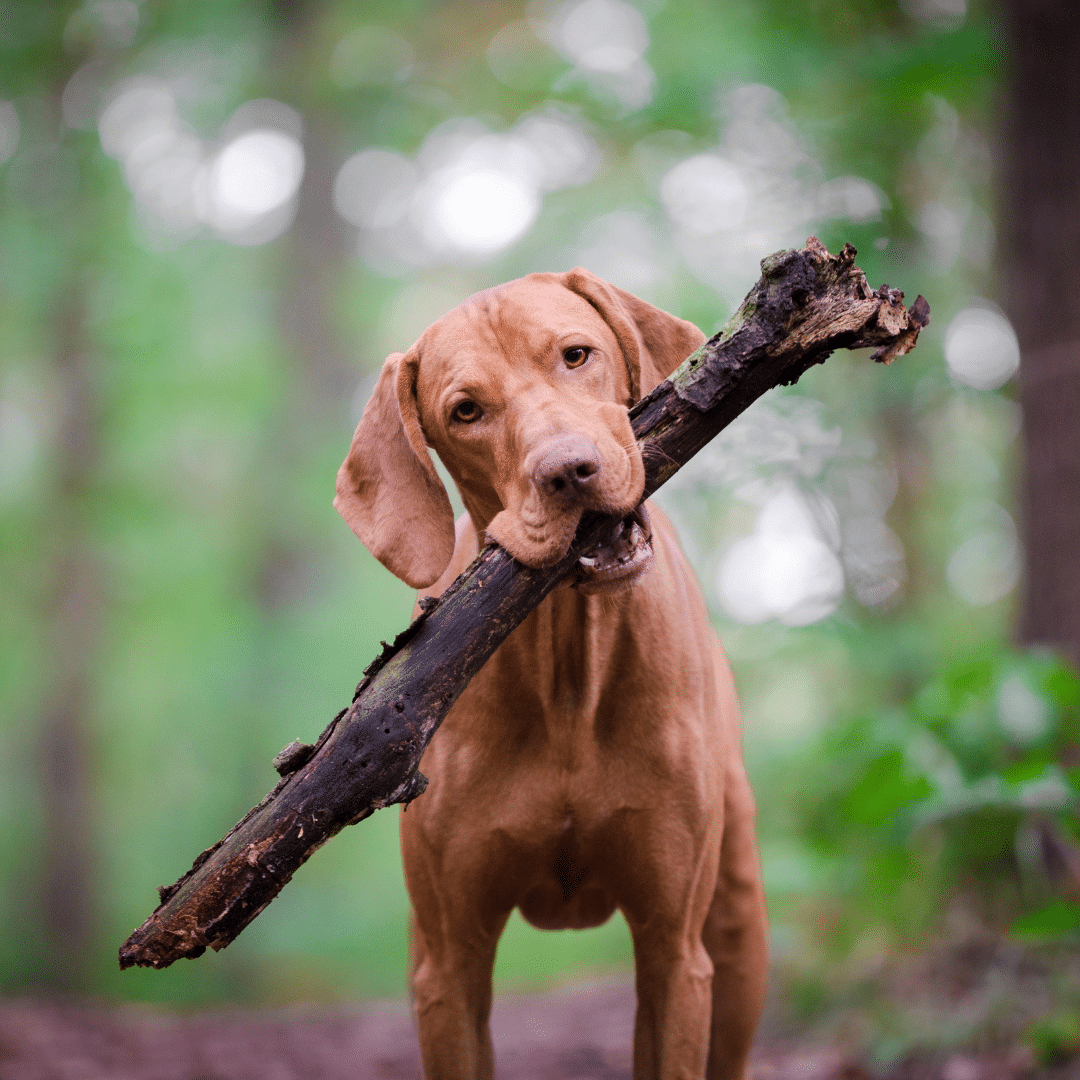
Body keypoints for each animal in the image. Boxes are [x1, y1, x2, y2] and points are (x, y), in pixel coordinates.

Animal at [336, 272, 768, 1080]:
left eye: (576, 355)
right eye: (465, 411)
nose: (567, 471)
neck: (568, 664)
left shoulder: (674, 954)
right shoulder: (451, 969)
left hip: (737, 931)